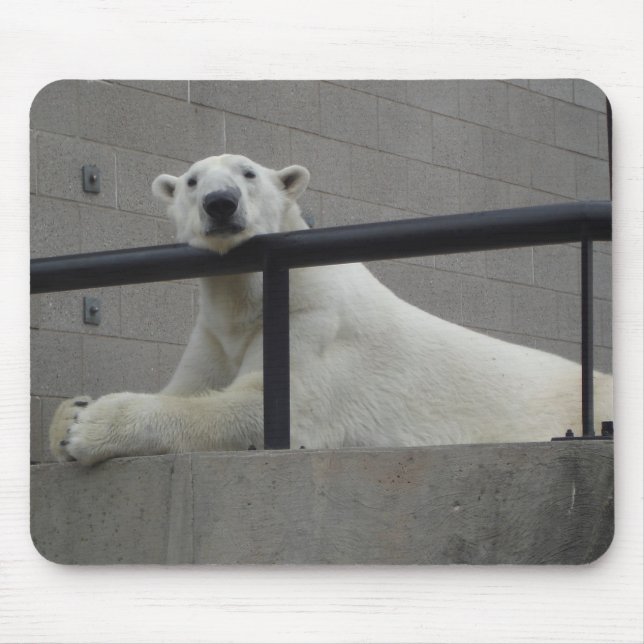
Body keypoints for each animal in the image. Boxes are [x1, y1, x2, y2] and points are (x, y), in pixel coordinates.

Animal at [49, 153, 613, 466]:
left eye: (248, 173)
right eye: (190, 181)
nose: (220, 202)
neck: (254, 290)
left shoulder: (315, 324)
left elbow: (266, 407)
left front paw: (89, 427)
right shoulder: (214, 334)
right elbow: (188, 385)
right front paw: (68, 414)